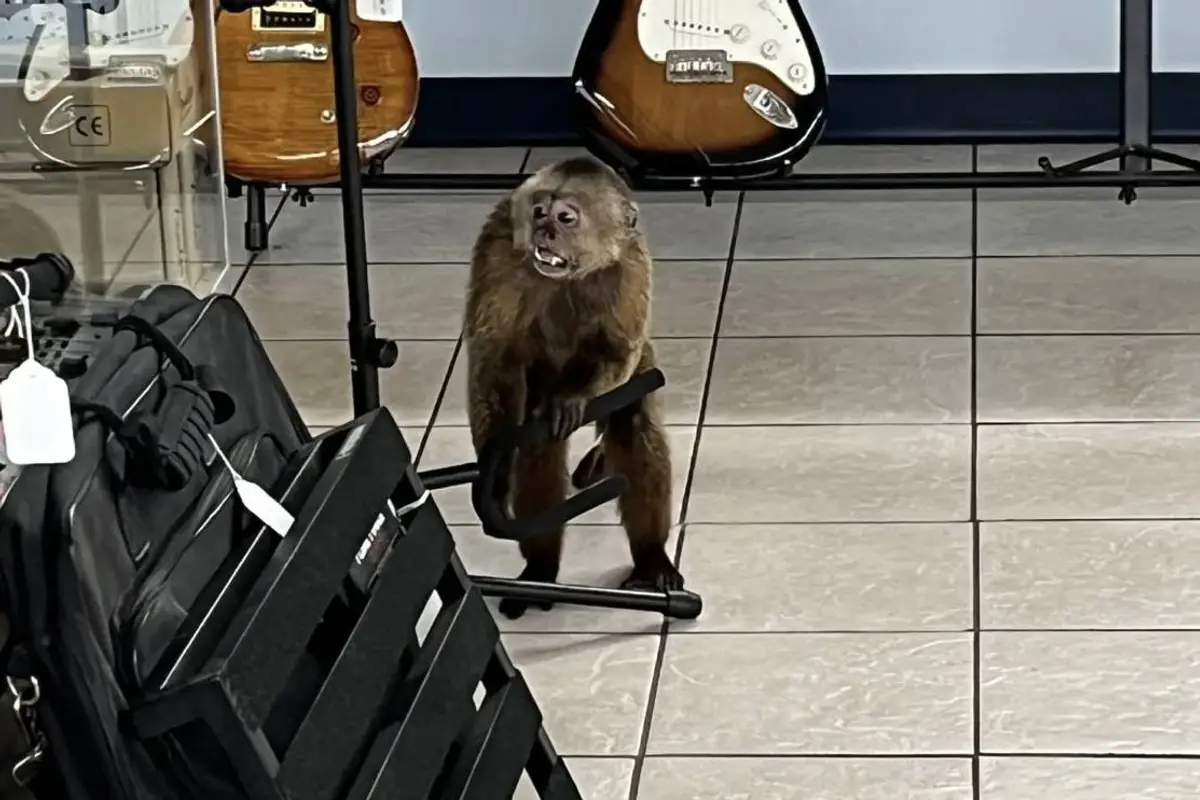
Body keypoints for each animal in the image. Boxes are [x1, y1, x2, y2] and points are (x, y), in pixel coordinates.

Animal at [464, 156, 684, 620]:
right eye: (539, 213)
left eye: (566, 218)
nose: (546, 231)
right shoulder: (498, 251)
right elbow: (493, 361)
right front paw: (494, 479)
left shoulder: (630, 261)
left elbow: (619, 352)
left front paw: (571, 402)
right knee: (537, 447)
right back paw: (541, 570)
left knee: (633, 420)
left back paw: (651, 559)